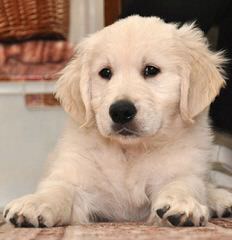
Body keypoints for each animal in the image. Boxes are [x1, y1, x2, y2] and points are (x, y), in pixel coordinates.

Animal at [3, 16, 232, 227]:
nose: (121, 111)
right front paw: (33, 203)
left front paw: (182, 204)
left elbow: (183, 184)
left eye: (151, 70)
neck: (130, 153)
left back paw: (222, 199)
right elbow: (58, 189)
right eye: (105, 72)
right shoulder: (77, 175)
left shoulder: (184, 169)